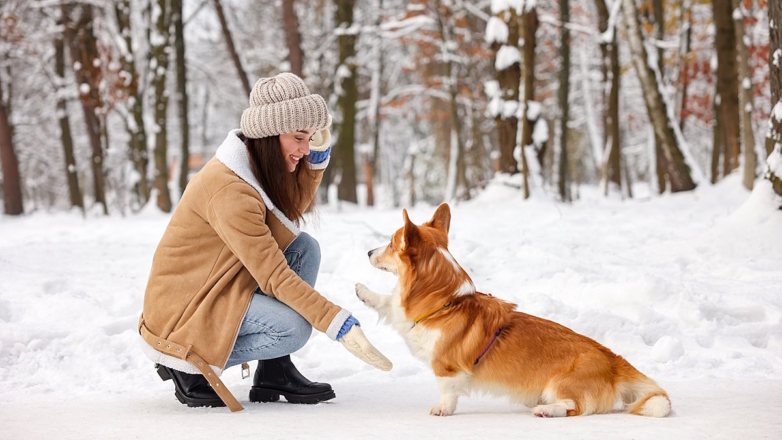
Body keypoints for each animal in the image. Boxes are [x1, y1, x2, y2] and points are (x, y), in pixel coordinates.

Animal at [358, 205, 672, 418]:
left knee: (575, 406)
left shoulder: (445, 366)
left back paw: (547, 410)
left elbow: (447, 391)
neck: (446, 304)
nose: (368, 252)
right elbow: (388, 303)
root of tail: (613, 361)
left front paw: (442, 409)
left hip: (560, 383)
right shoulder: (403, 317)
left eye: (390, 243)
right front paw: (363, 292)